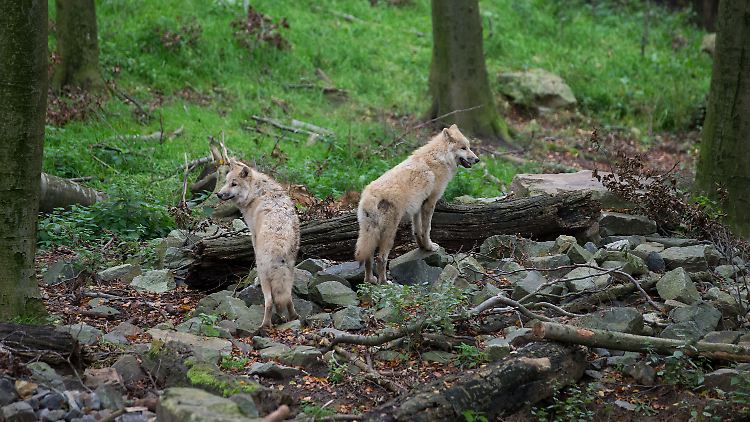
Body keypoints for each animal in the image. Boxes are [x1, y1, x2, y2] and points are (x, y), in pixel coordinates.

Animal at [217, 161, 299, 329]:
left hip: (266, 276)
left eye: (234, 184)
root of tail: (279, 244)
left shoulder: (253, 235)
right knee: (287, 298)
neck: (257, 192)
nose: (219, 194)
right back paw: (292, 317)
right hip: (289, 274)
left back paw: (264, 325)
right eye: (226, 182)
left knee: (269, 302)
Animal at [355, 124, 480, 284]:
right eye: (463, 148)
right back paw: (384, 283)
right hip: (389, 234)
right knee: (381, 258)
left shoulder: (417, 207)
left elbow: (417, 231)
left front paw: (422, 247)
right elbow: (426, 229)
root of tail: (370, 196)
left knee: (368, 258)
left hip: (370, 235)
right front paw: (430, 247)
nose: (477, 159)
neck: (439, 158)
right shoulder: (430, 203)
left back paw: (370, 280)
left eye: (469, 147)